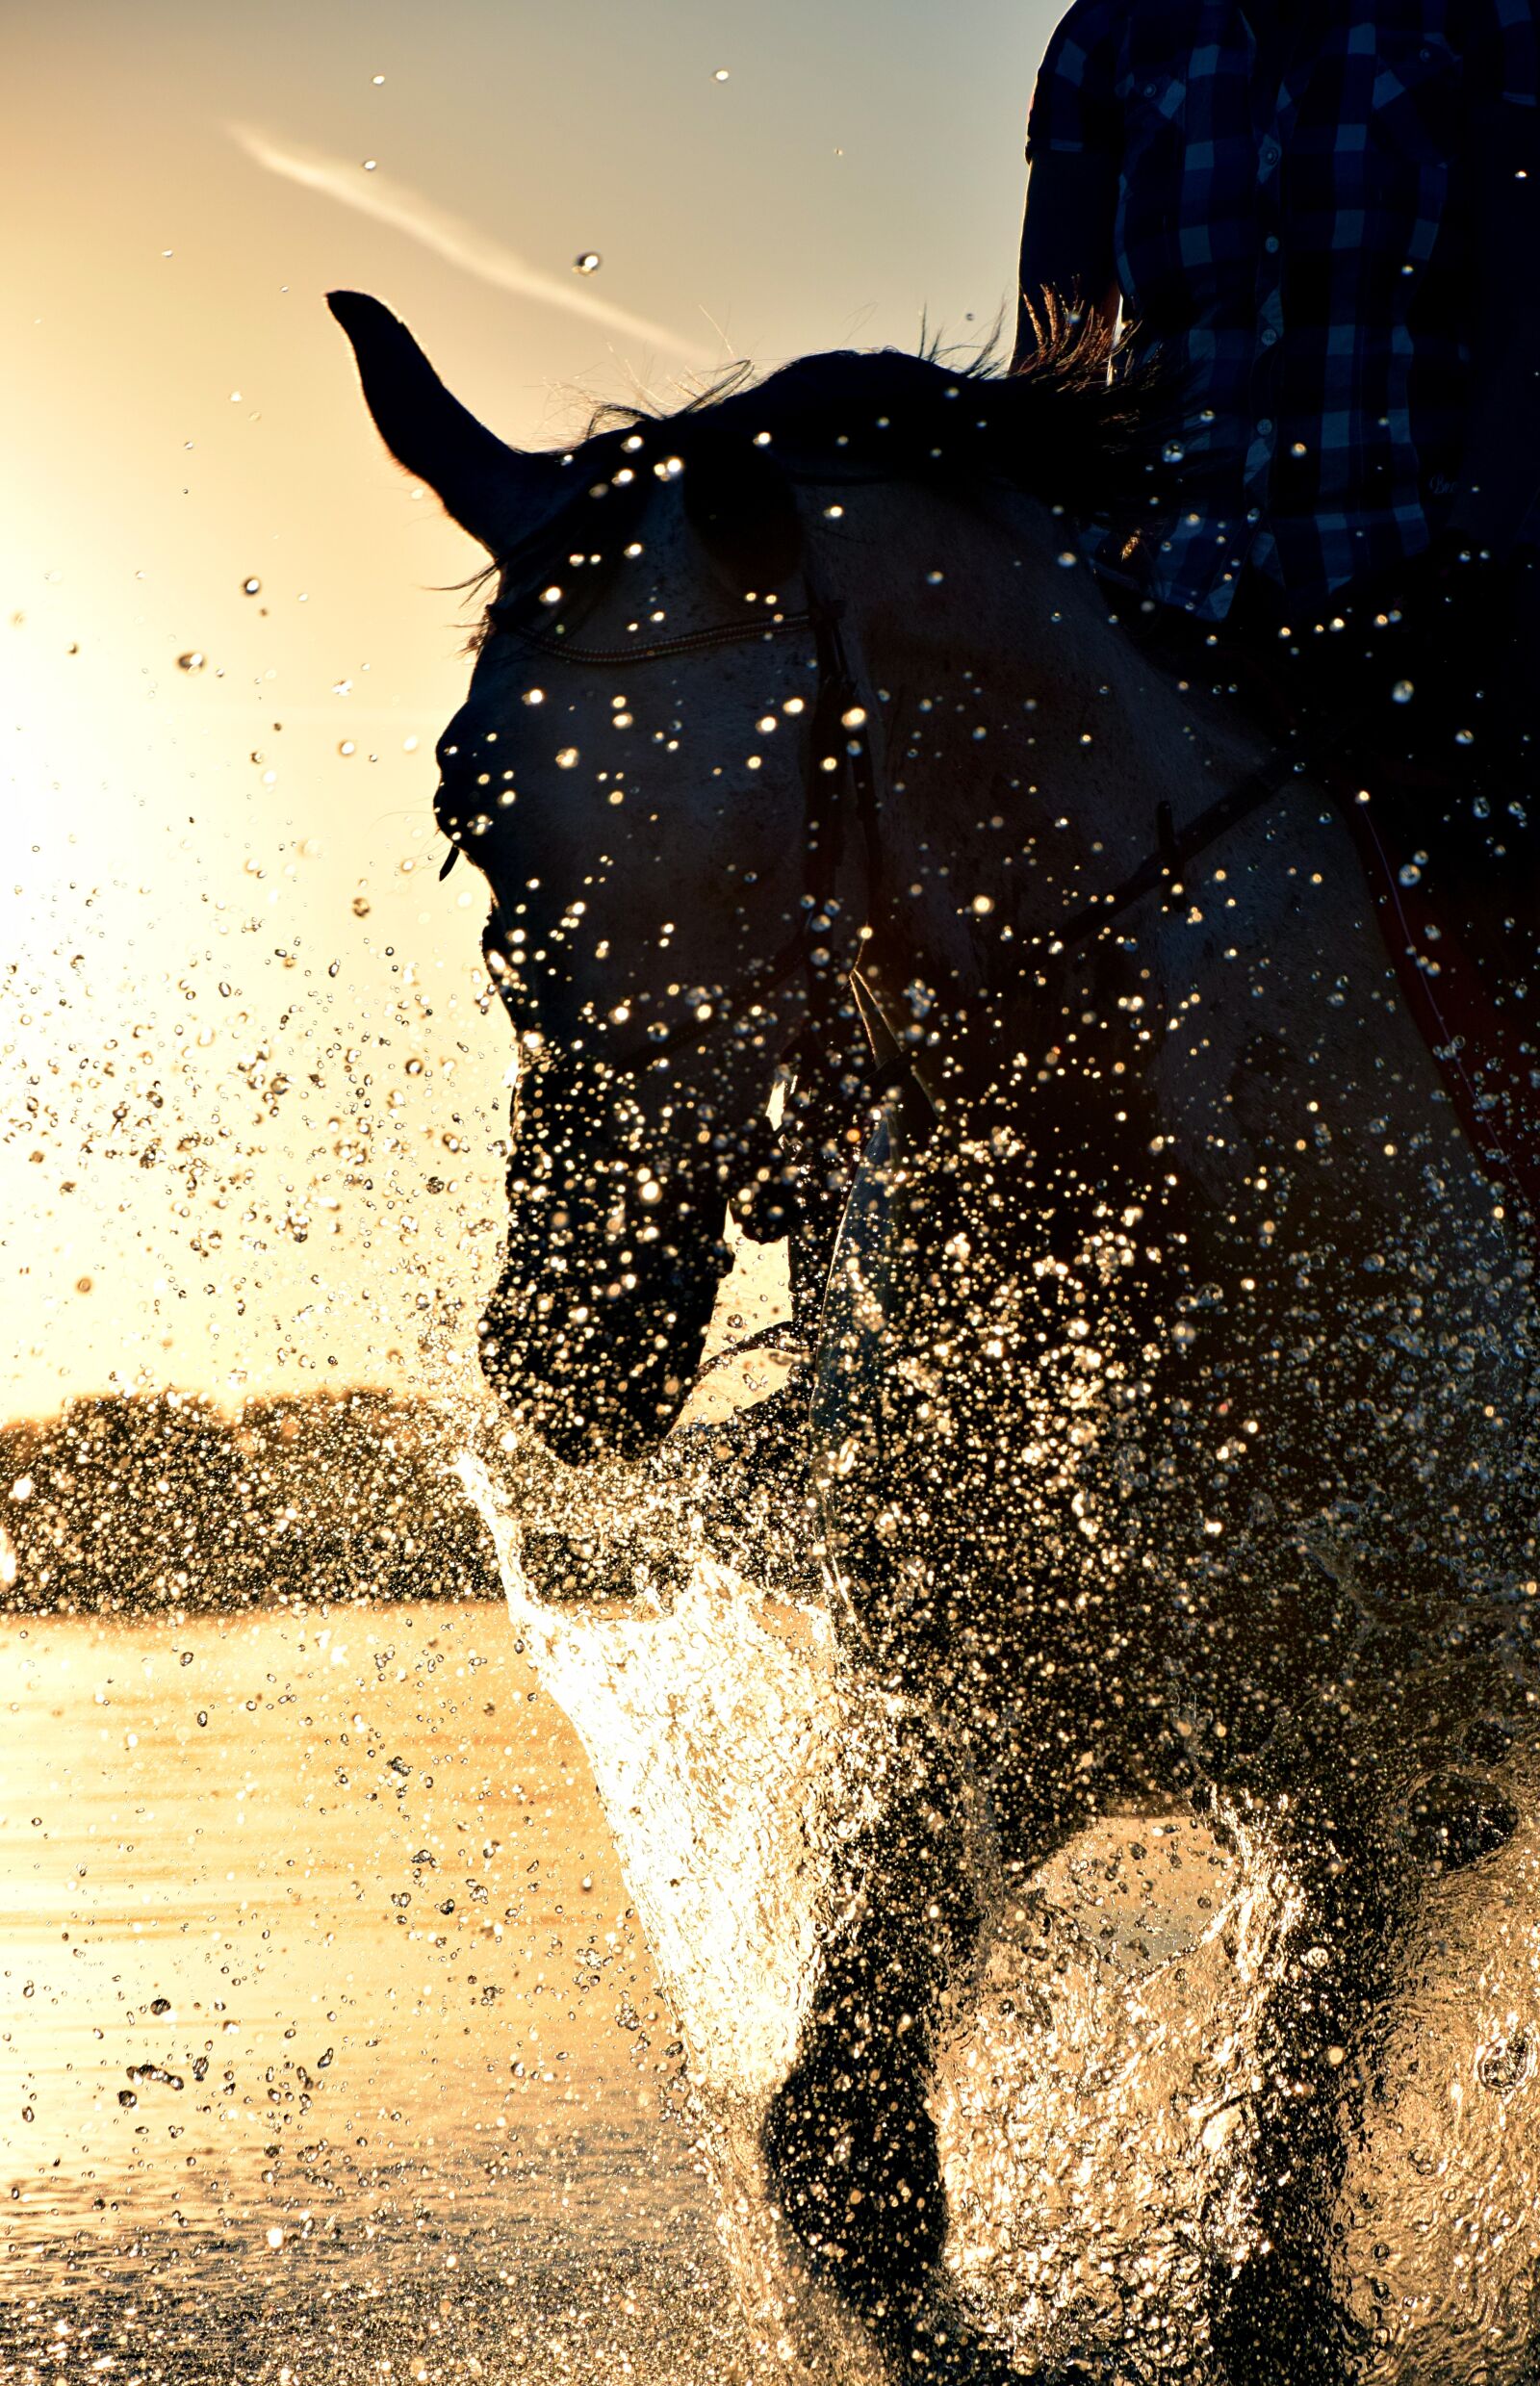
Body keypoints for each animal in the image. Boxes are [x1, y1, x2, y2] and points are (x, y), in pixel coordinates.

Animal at [330, 290, 1540, 2383]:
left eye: (777, 768)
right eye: (471, 798)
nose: (560, 1334)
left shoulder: (1375, 1740)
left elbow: (1266, 2231)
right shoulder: (1007, 1705)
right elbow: (842, 2156)